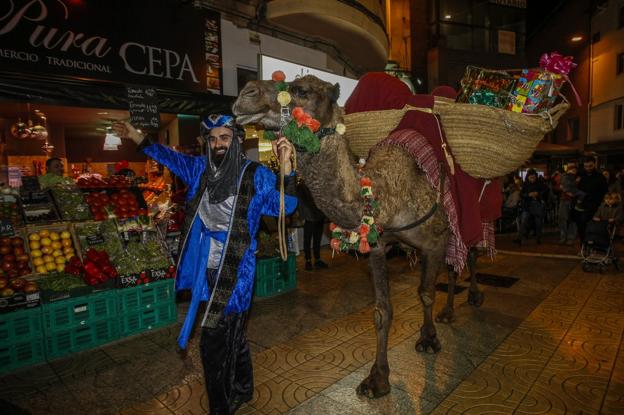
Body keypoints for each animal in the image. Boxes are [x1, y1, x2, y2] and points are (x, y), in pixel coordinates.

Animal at [233, 75, 482, 400]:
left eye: (302, 90)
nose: (245, 94)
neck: (385, 193)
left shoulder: (436, 241)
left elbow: (426, 293)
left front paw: (428, 339)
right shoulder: (377, 246)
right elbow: (382, 311)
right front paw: (377, 380)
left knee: (466, 258)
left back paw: (468, 300)